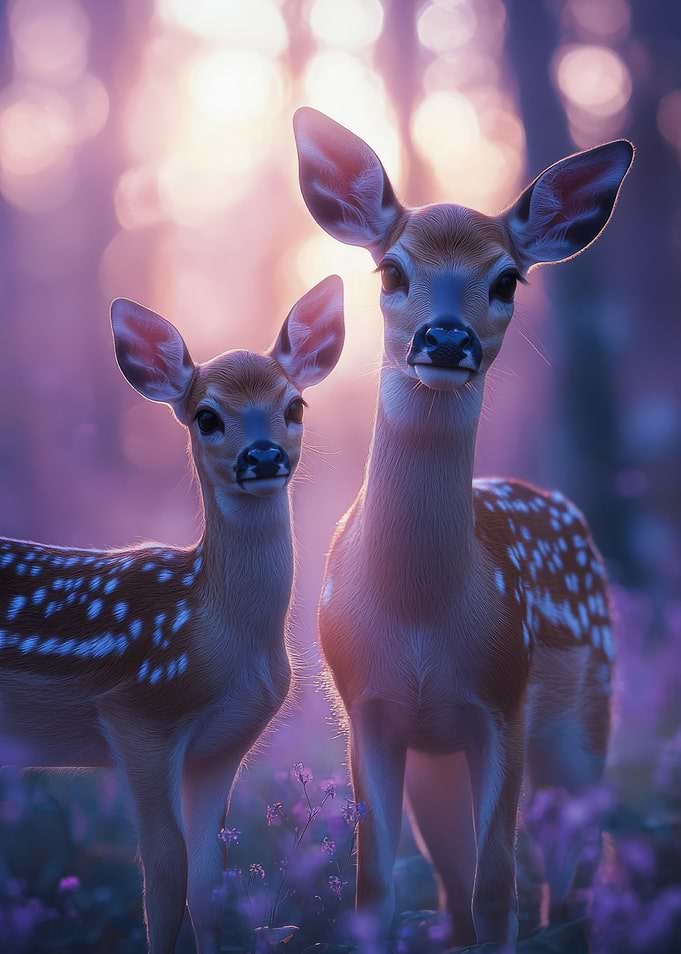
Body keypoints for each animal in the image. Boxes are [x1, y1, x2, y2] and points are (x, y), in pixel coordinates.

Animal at [0, 275, 345, 954]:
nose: (263, 456)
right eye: (206, 416)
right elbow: (163, 880)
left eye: (294, 407)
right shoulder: (139, 715)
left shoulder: (222, 746)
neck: (219, 638)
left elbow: (210, 885)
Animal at [293, 107, 633, 950]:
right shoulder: (369, 708)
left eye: (505, 279)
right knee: (454, 891)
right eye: (390, 272)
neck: (420, 612)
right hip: (439, 760)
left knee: (569, 881)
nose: (446, 340)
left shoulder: (501, 700)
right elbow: (376, 887)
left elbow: (497, 888)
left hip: (586, 718)